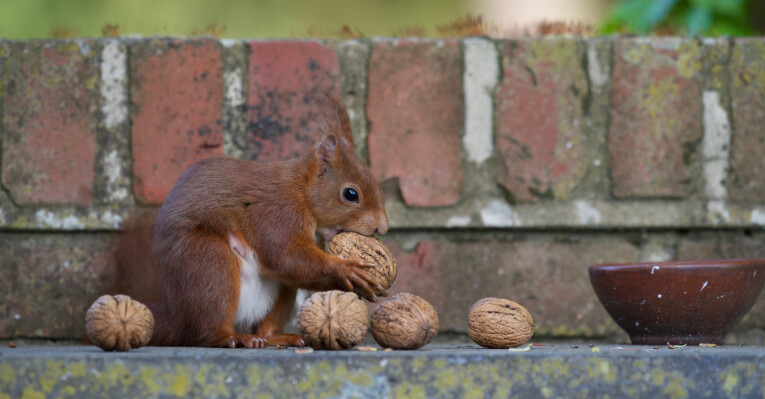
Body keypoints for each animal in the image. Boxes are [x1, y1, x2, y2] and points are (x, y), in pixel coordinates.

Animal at [132, 92, 390, 348]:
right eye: (351, 194)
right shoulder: (277, 214)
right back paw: (232, 337)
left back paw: (277, 337)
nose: (382, 227)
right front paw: (344, 268)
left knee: (265, 325)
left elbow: (298, 270)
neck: (301, 192)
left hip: (279, 293)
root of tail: (178, 317)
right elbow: (284, 257)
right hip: (206, 261)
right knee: (207, 330)